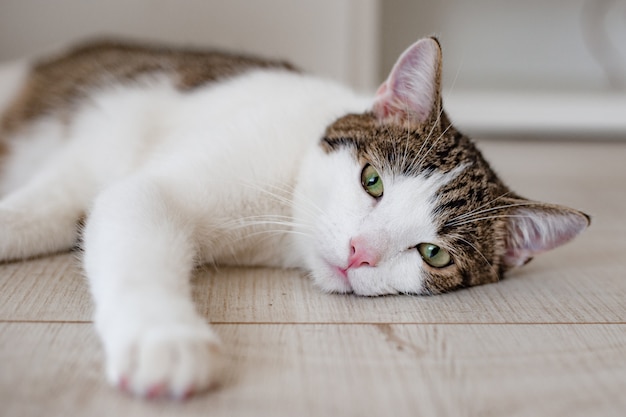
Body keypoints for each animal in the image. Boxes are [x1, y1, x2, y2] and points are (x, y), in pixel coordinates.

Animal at [0, 37, 588, 398]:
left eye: (433, 254)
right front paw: (164, 339)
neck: (284, 216)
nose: (359, 252)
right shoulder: (143, 185)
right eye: (372, 181)